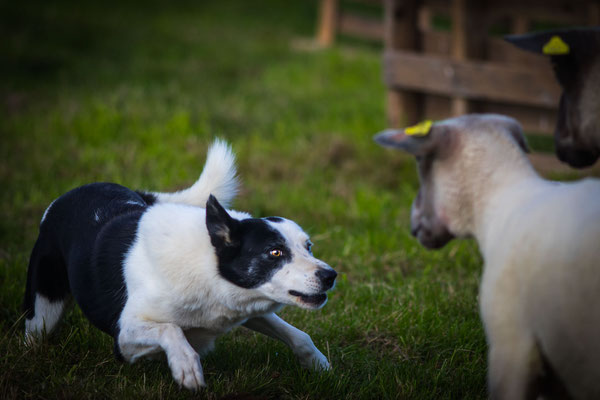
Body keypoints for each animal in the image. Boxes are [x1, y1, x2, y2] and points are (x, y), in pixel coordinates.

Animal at [23, 139, 336, 390]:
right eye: (274, 252)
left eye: (308, 246)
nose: (331, 275)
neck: (207, 267)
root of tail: (68, 195)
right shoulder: (123, 337)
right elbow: (170, 329)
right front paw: (186, 367)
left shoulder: (247, 306)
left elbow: (300, 335)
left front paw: (321, 367)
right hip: (42, 313)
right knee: (36, 333)